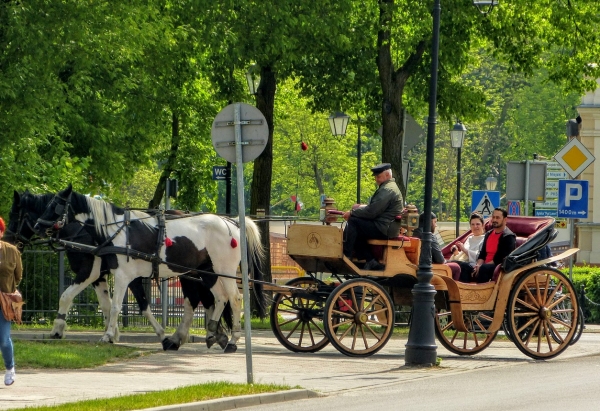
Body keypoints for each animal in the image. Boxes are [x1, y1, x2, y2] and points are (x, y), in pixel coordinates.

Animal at [34, 185, 264, 352]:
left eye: (55, 205)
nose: (37, 226)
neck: (117, 232)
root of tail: (232, 222)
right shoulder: (123, 276)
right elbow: (138, 305)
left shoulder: (121, 275)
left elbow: (115, 306)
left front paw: (107, 335)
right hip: (208, 272)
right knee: (219, 298)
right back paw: (212, 331)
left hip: (223, 269)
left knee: (234, 299)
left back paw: (232, 341)